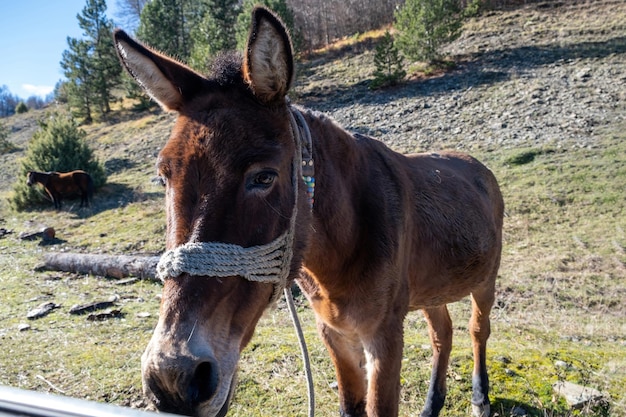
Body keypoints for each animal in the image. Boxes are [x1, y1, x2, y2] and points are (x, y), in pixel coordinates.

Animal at [113, 6, 502, 416]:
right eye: (163, 177)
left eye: (264, 177)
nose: (173, 378)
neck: (340, 254)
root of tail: (476, 165)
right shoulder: (333, 333)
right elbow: (350, 404)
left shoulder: (384, 336)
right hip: (432, 288)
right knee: (442, 332)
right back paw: (432, 403)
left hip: (485, 280)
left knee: (478, 329)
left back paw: (480, 396)